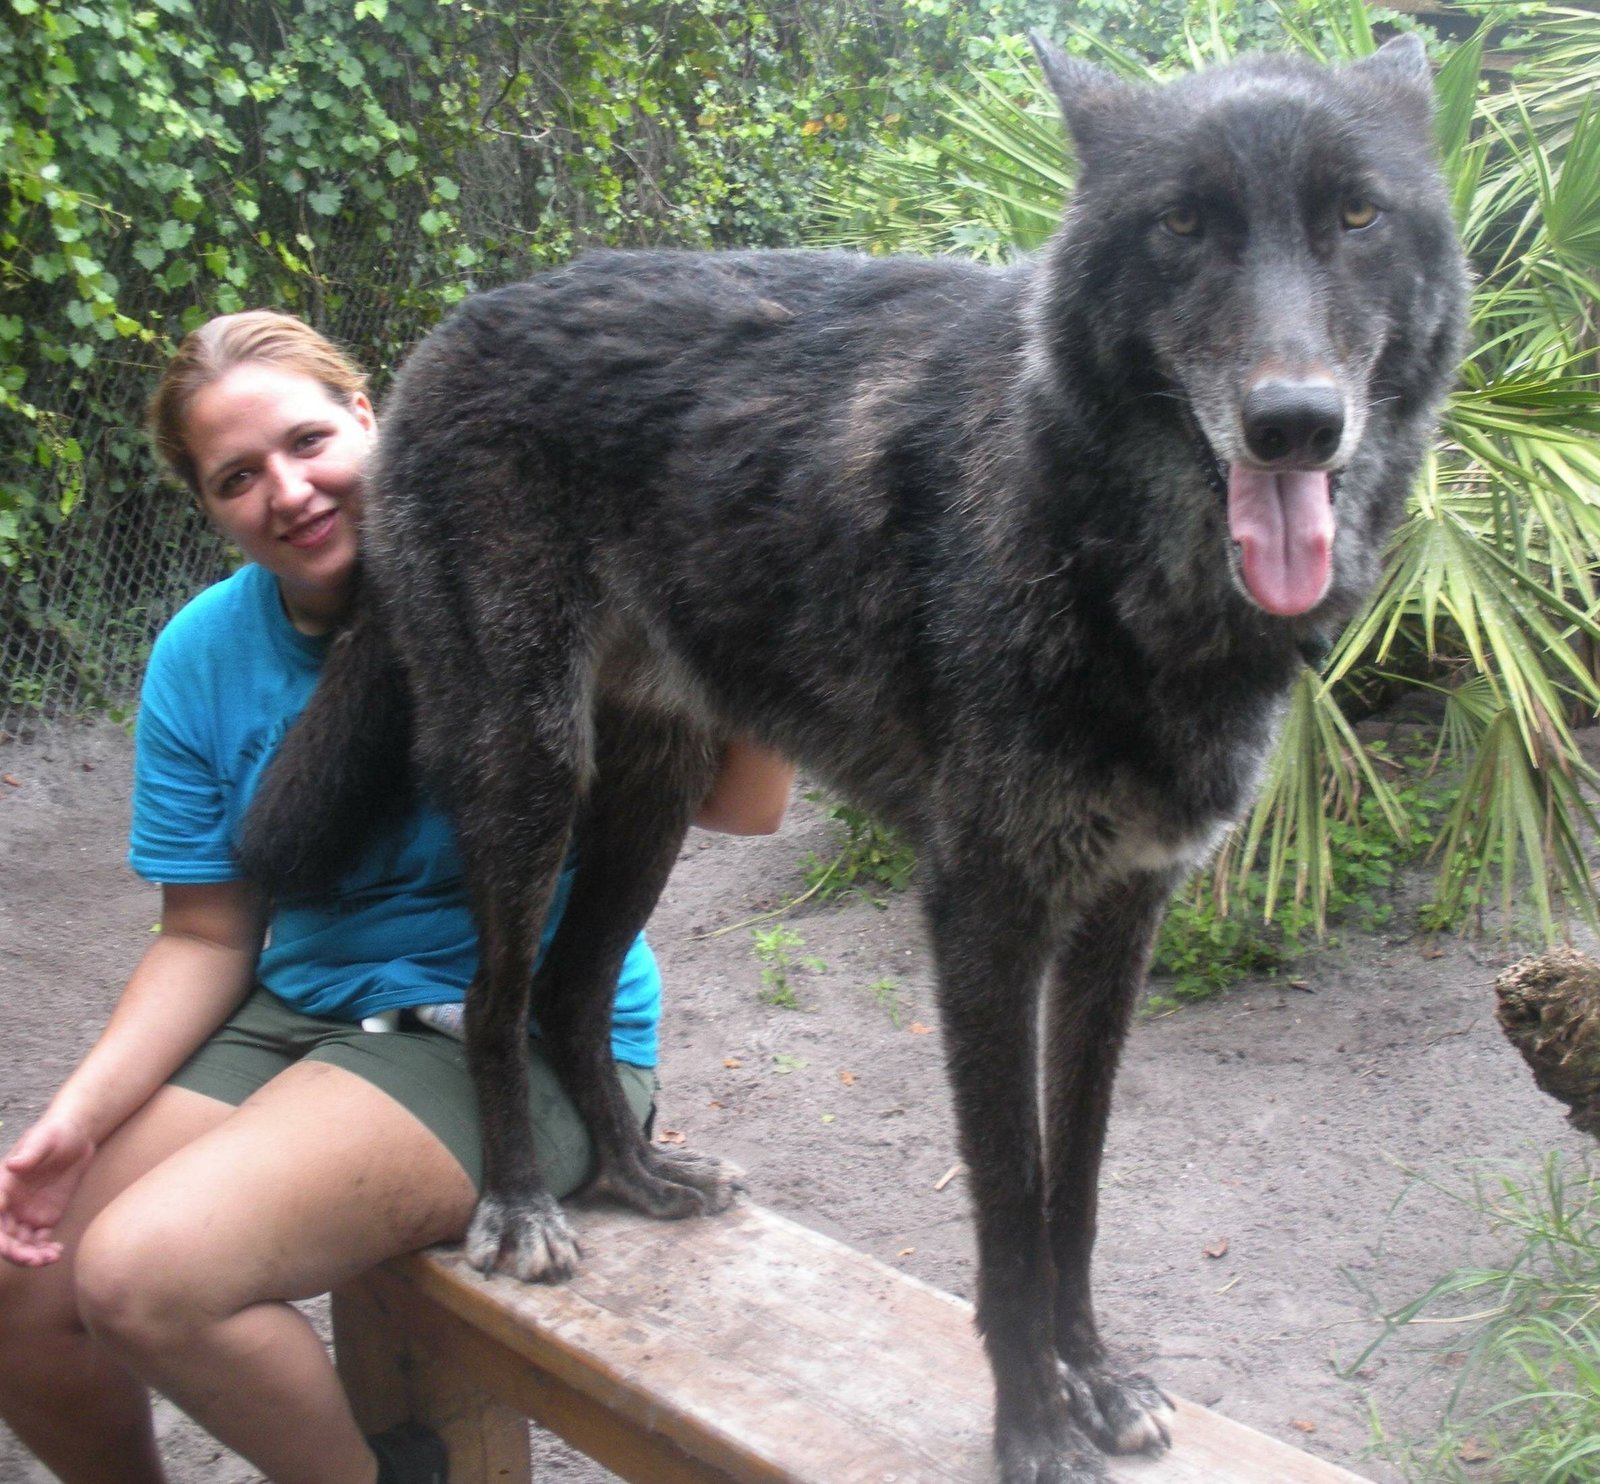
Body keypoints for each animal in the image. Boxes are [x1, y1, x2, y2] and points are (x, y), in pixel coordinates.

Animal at [246, 31, 1465, 1471]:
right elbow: (1008, 1202)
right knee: (495, 999)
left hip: (651, 800)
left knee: (568, 992)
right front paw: (1031, 1421)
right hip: (527, 775)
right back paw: (525, 1206)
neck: (1093, 537)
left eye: (1356, 216)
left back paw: (641, 1179)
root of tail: (443, 336)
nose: (1293, 423)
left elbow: (1077, 1188)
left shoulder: (1121, 917)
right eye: (1180, 225)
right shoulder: (983, 915)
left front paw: (1097, 1376)